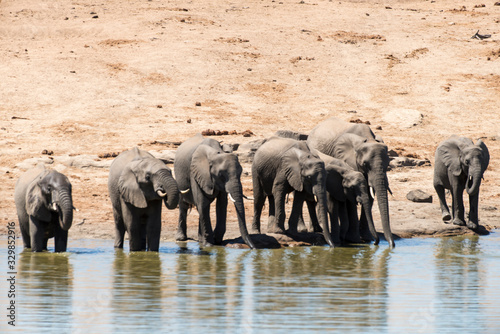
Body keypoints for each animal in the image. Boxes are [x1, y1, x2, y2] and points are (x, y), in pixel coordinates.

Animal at [308, 116, 394, 247]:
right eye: (365, 164)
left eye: (387, 164)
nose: (391, 245)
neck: (366, 139)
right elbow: (351, 199)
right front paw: (354, 240)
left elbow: (369, 194)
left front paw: (367, 238)